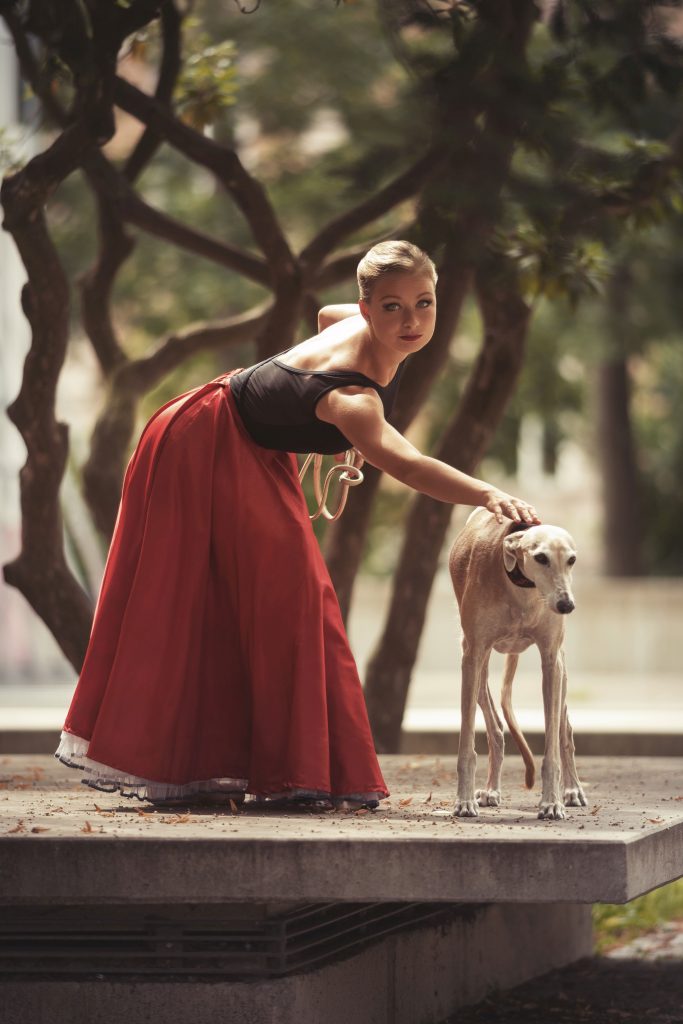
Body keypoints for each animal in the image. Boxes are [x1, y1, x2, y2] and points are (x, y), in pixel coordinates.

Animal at [448, 507, 589, 819]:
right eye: (541, 558)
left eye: (572, 559)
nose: (566, 605)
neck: (521, 589)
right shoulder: (473, 654)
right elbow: (466, 747)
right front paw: (464, 801)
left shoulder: (551, 659)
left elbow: (552, 748)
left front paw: (552, 803)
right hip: (478, 667)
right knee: (496, 731)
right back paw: (490, 789)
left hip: (561, 673)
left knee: (565, 731)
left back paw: (573, 789)